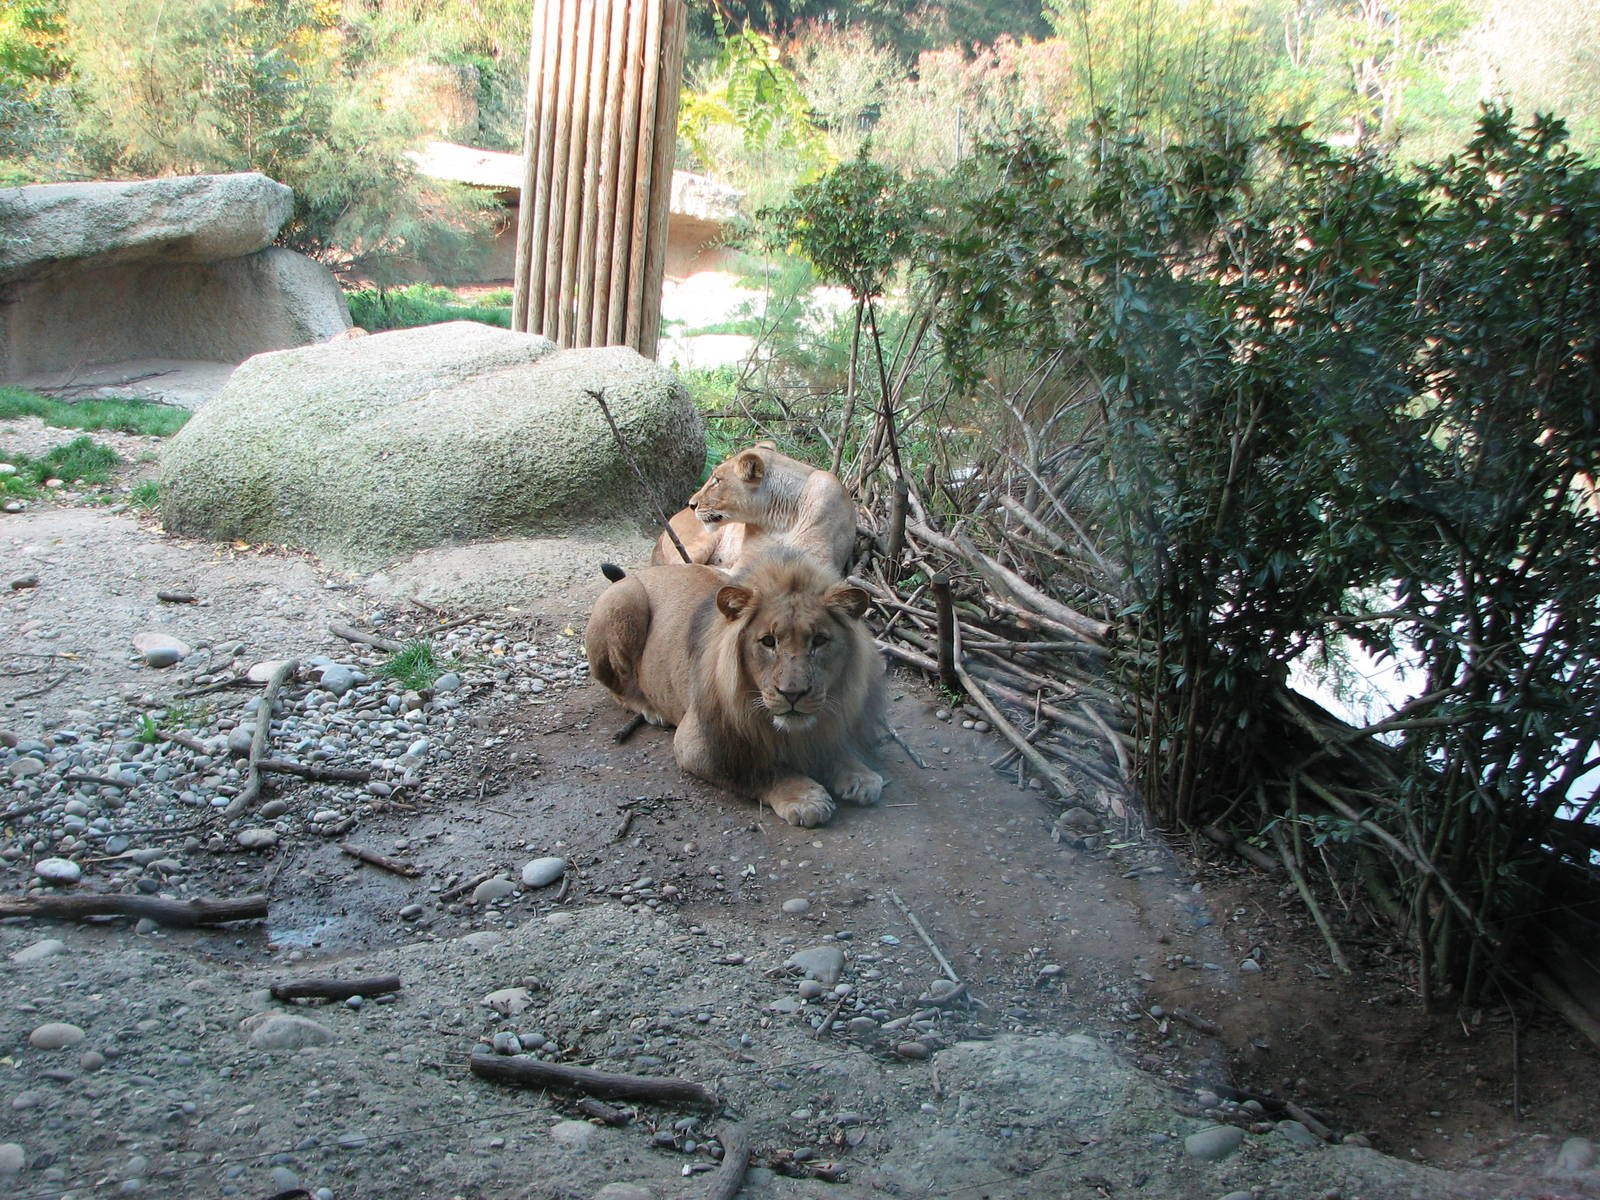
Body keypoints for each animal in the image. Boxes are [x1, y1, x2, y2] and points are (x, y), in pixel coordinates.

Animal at [585, 549, 886, 828]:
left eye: (820, 640)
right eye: (768, 641)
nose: (792, 694)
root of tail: (632, 575)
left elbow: (834, 746)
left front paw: (860, 774)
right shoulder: (699, 743)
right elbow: (760, 770)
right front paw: (805, 797)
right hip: (624, 603)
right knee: (618, 688)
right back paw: (650, 709)